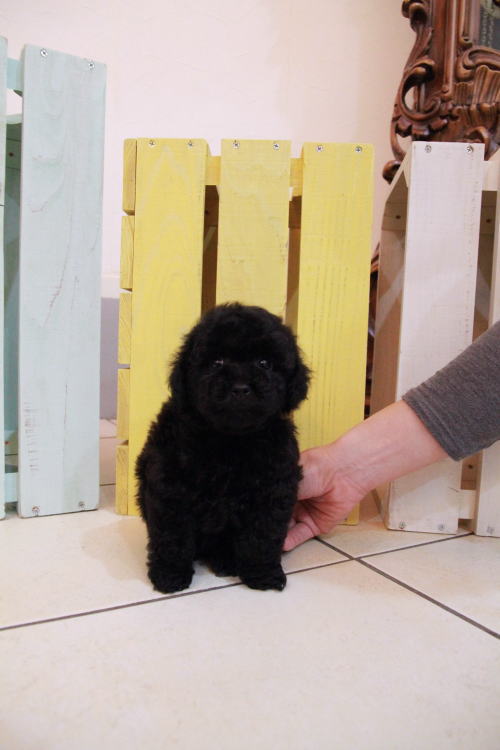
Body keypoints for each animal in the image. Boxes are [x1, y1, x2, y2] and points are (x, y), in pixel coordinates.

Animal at [136, 303, 310, 593]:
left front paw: (263, 574)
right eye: (216, 362)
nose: (240, 388)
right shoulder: (170, 487)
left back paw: (226, 560)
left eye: (264, 363)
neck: (230, 438)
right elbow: (173, 535)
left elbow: (263, 534)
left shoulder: (274, 488)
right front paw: (170, 574)